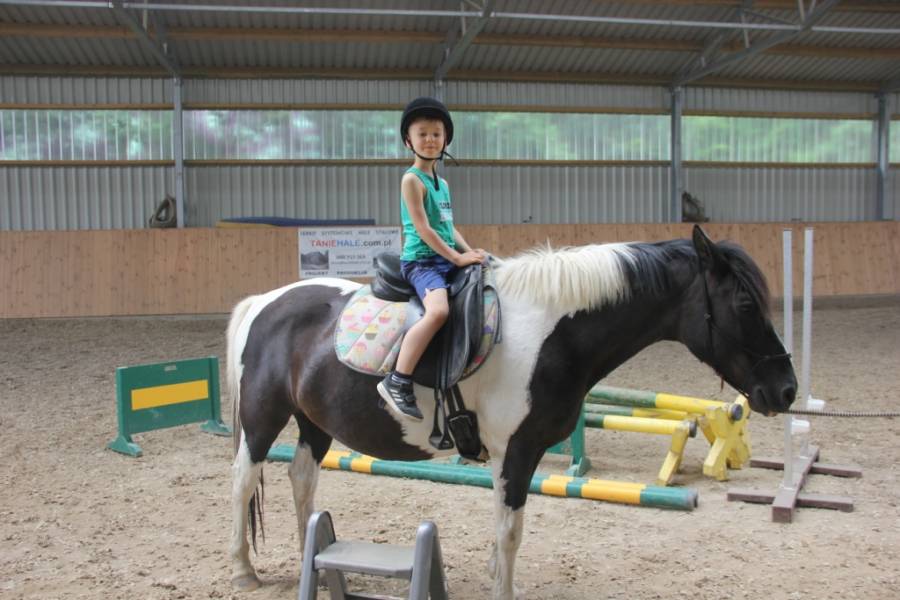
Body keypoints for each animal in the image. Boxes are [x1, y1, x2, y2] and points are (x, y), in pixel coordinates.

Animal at [227, 225, 796, 600]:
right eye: (745, 305)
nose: (787, 389)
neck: (552, 331)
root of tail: (264, 302)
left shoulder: (515, 455)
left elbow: (503, 524)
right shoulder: (515, 451)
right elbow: (510, 530)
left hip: (314, 421)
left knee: (302, 479)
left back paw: (311, 560)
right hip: (262, 419)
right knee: (243, 481)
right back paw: (243, 571)